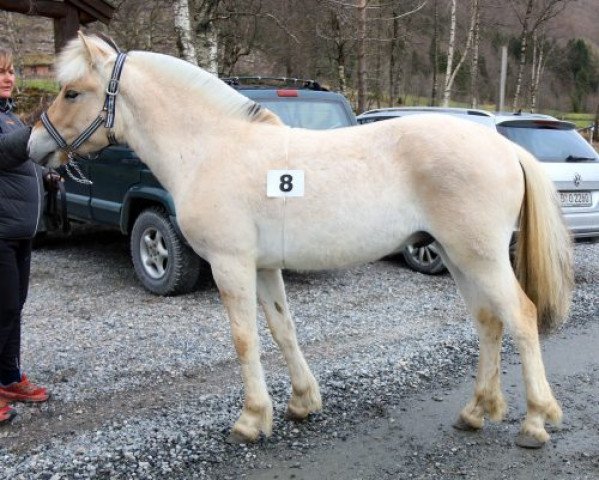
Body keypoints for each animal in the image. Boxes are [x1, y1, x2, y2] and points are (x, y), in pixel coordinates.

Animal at [28, 32, 572, 446]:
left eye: (72, 92)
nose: (34, 145)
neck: (210, 148)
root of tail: (503, 146)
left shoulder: (231, 264)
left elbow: (245, 338)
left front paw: (251, 419)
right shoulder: (265, 266)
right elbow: (282, 329)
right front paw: (301, 402)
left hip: (480, 257)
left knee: (521, 317)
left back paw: (535, 421)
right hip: (460, 258)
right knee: (488, 321)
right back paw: (477, 412)